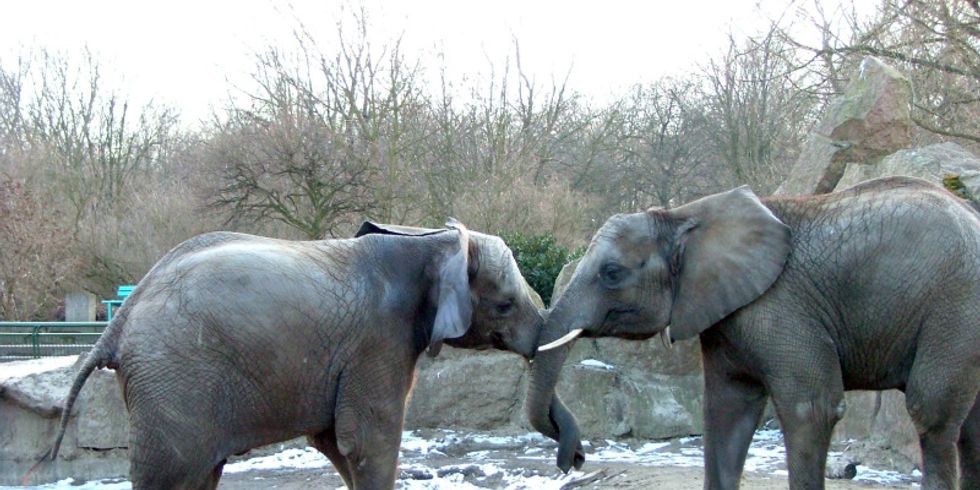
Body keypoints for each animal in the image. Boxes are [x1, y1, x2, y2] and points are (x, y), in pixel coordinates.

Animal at [38, 220, 552, 488]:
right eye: (505, 304)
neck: (428, 241)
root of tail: (116, 323)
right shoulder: (378, 341)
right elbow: (367, 440)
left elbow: (336, 442)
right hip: (172, 380)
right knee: (174, 473)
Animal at [528, 177, 980, 490]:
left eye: (611, 273)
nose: (575, 461)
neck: (683, 217)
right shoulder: (725, 316)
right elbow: (725, 410)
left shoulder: (781, 306)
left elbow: (810, 408)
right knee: (970, 424)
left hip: (955, 306)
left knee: (932, 413)